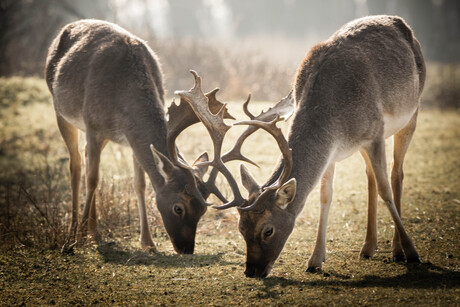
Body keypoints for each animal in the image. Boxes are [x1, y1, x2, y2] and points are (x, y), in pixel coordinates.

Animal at [44, 19, 237, 255]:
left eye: (202, 210)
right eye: (178, 208)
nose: (186, 249)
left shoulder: (130, 139)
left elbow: (140, 184)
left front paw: (148, 242)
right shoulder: (93, 126)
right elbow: (93, 179)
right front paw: (79, 238)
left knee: (85, 156)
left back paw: (95, 232)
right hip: (60, 111)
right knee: (77, 165)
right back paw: (74, 232)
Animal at [178, 15, 426, 278]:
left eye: (268, 230)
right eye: (241, 228)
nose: (251, 271)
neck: (336, 117)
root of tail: (400, 23)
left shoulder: (375, 133)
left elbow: (385, 190)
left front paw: (413, 252)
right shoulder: (333, 152)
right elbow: (325, 196)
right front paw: (315, 260)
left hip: (412, 113)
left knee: (396, 172)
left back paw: (398, 250)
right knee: (370, 177)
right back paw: (368, 247)